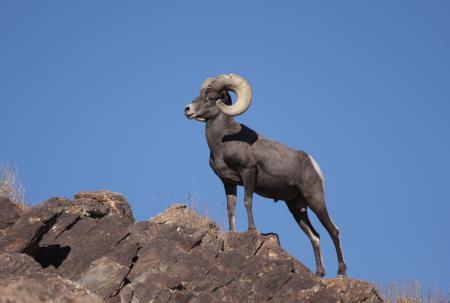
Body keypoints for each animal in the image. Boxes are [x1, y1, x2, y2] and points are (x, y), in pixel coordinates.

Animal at [185, 74, 346, 278]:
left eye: (211, 98)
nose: (187, 109)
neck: (222, 141)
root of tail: (312, 163)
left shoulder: (248, 173)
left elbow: (247, 201)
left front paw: (252, 230)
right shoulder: (228, 182)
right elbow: (231, 208)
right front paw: (233, 232)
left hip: (315, 199)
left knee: (334, 230)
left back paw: (341, 272)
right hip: (296, 207)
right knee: (315, 236)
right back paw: (319, 273)